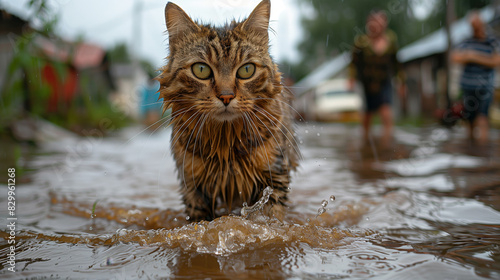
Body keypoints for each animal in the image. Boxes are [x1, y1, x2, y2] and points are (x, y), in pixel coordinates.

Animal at [157, 0, 296, 222]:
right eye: (201, 70)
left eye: (247, 70)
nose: (226, 96)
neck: (226, 144)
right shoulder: (193, 185)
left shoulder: (274, 175)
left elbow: (269, 217)